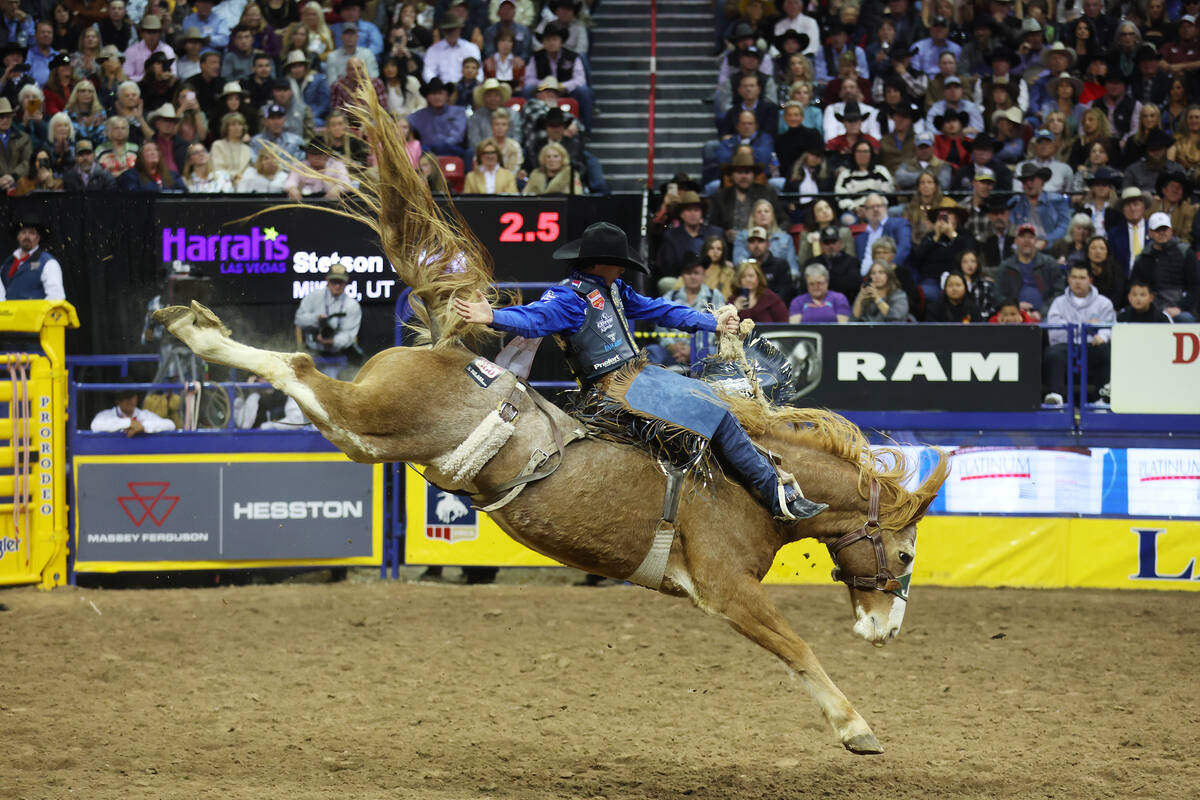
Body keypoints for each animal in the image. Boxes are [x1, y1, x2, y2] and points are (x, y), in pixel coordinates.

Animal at [154, 89, 945, 758]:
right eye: (907, 554)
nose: (887, 630)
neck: (744, 481)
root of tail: (449, 349)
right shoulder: (725, 588)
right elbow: (796, 646)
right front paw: (857, 728)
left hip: (375, 435)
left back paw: (195, 326)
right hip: (373, 417)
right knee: (299, 370)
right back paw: (196, 330)